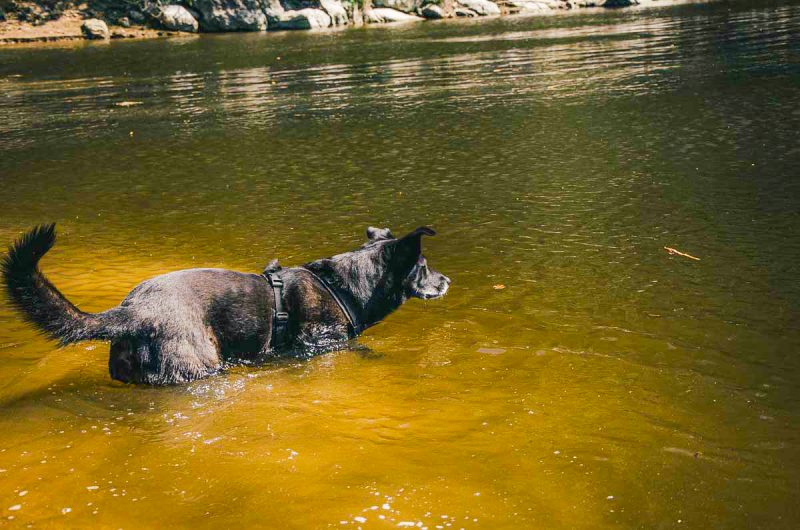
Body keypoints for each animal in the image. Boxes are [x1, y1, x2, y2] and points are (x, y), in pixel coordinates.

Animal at [1, 223, 450, 384]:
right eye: (425, 267)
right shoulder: (319, 343)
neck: (343, 286)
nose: (447, 280)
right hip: (195, 364)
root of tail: (134, 311)